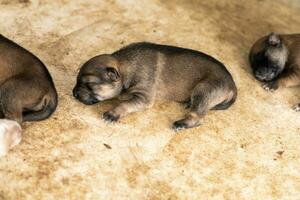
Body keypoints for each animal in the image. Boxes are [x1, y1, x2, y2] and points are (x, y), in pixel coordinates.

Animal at [73, 41, 237, 131]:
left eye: (89, 84)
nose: (74, 93)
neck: (126, 67)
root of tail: (232, 85)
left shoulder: (144, 97)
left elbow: (125, 104)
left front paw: (113, 113)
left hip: (203, 90)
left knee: (198, 117)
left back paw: (181, 124)